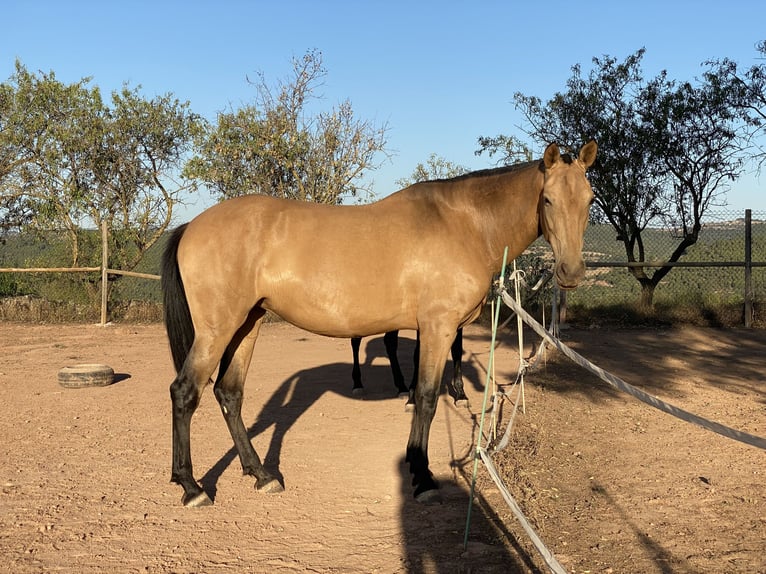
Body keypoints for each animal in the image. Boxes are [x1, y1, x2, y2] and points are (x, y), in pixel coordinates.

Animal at [160, 141, 592, 508]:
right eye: (548, 199)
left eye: (589, 200)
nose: (571, 273)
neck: (465, 223)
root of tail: (190, 226)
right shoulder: (438, 327)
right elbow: (426, 398)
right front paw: (422, 477)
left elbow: (420, 392)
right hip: (217, 330)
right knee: (185, 392)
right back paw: (192, 487)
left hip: (247, 325)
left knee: (229, 394)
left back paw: (261, 474)